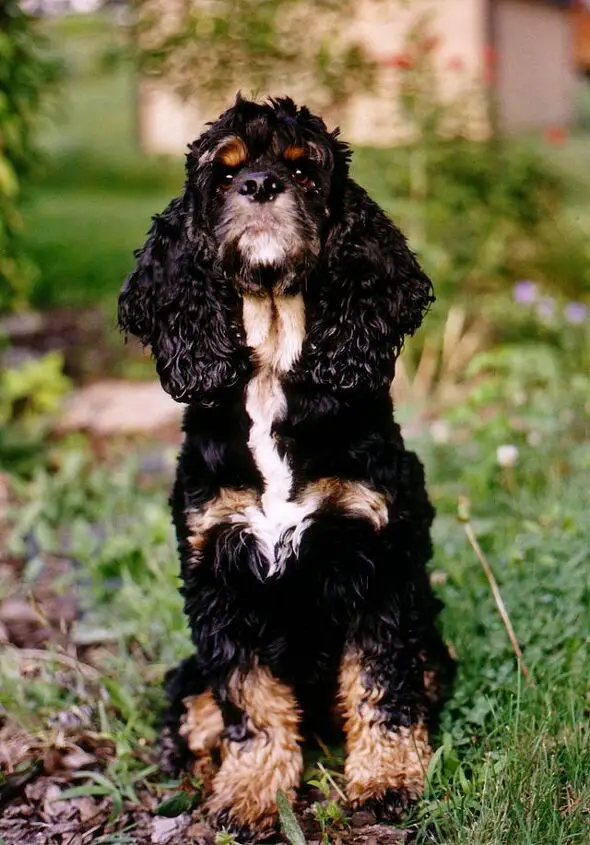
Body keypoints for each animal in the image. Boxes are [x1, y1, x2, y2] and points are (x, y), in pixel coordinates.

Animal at [118, 94, 456, 836]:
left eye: (304, 171)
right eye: (223, 174)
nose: (261, 186)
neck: (273, 366)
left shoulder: (379, 564)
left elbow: (382, 683)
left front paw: (387, 780)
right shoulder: (218, 575)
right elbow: (251, 701)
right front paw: (250, 793)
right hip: (187, 672)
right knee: (198, 715)